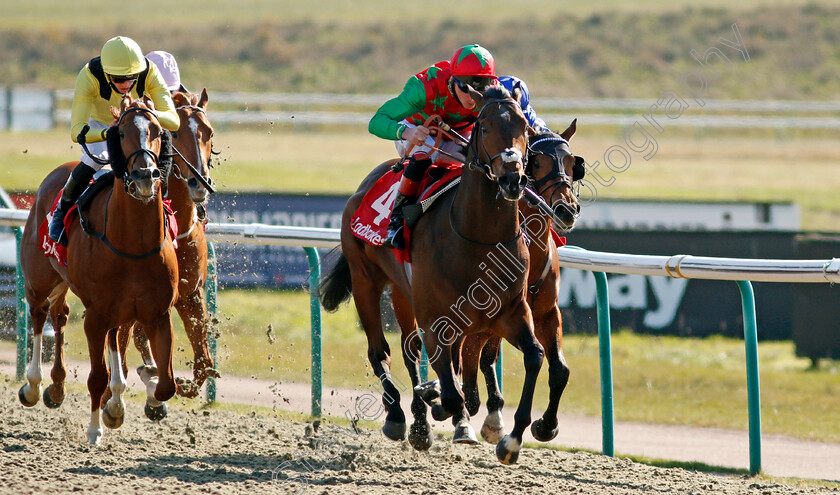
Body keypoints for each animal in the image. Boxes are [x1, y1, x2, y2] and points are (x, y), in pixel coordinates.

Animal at [18, 95, 179, 448]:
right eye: (121, 133)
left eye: (157, 130)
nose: (145, 174)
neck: (133, 243)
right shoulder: (94, 314)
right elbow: (96, 377)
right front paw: (94, 430)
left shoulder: (156, 314)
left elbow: (167, 384)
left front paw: (128, 401)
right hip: (39, 281)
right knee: (40, 315)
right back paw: (35, 386)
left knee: (68, 318)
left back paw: (69, 389)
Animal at [318, 86, 548, 464]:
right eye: (485, 126)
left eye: (525, 129)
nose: (512, 178)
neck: (478, 239)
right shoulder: (436, 316)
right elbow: (452, 390)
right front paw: (442, 404)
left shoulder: (511, 311)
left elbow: (533, 356)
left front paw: (510, 440)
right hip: (366, 279)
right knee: (379, 351)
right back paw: (399, 417)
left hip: (403, 291)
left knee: (409, 348)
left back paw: (421, 421)